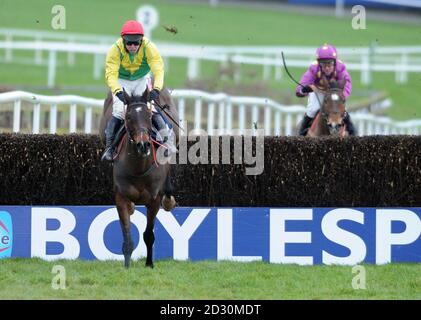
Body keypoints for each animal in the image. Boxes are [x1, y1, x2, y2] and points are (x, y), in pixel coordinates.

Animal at [99, 87, 179, 268]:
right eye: (128, 117)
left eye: (149, 116)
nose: (143, 144)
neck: (138, 168)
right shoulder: (120, 197)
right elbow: (127, 237)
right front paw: (127, 266)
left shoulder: (154, 200)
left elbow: (149, 234)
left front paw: (149, 264)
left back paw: (169, 199)